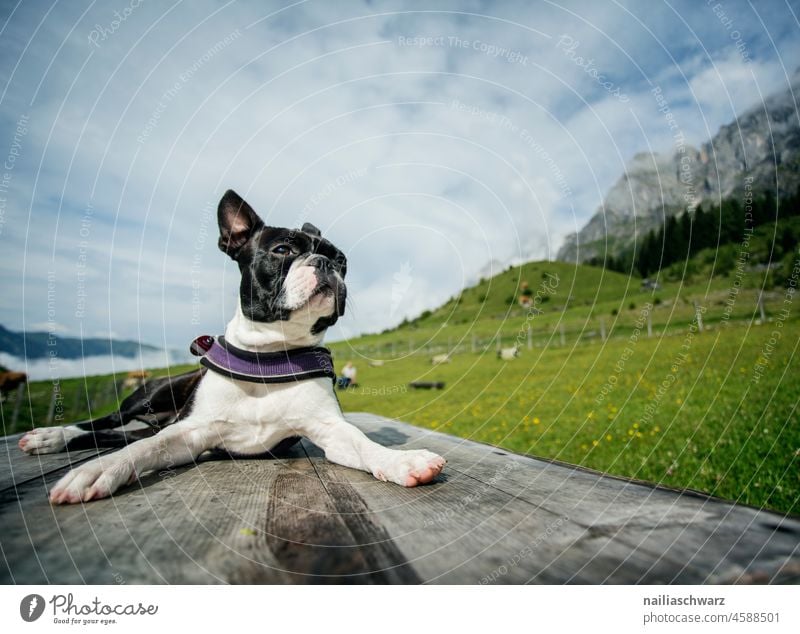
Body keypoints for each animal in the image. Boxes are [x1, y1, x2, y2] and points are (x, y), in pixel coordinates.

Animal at [18, 189, 446, 504]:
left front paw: (401, 461)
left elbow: (361, 443)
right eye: (283, 251)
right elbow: (146, 449)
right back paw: (51, 436)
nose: (326, 263)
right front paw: (100, 470)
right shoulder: (189, 431)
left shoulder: (330, 429)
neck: (268, 357)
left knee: (120, 434)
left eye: (342, 260)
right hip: (152, 395)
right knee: (108, 424)